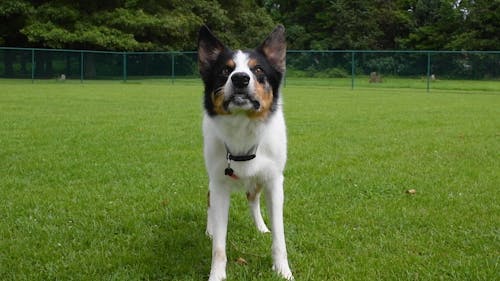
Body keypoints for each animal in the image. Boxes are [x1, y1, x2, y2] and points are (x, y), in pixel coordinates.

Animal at [197, 24, 292, 280]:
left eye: (258, 69)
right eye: (225, 70)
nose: (240, 78)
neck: (242, 130)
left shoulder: (274, 181)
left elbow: (280, 237)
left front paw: (283, 270)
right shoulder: (219, 183)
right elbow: (219, 246)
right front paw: (216, 274)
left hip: (259, 179)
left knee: (252, 198)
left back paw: (261, 227)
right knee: (209, 198)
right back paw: (210, 229)